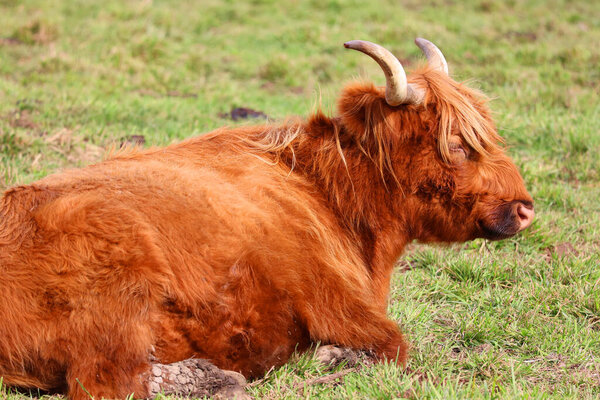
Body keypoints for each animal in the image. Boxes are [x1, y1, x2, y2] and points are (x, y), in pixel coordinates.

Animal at [0, 38, 536, 400]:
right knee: (111, 382)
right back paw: (213, 378)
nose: (525, 207)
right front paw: (331, 356)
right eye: (457, 144)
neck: (322, 189)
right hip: (120, 296)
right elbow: (394, 342)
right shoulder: (335, 299)